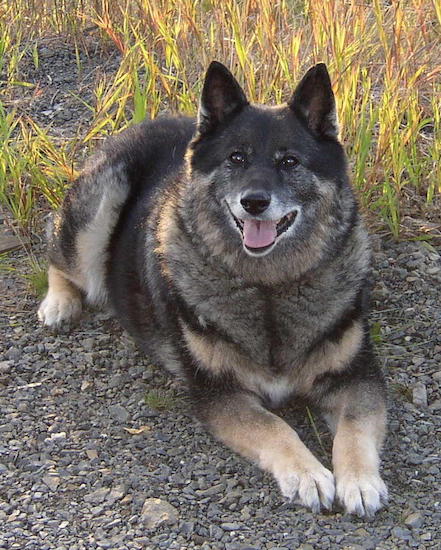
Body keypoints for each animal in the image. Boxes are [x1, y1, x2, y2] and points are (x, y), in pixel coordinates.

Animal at [38, 62, 388, 520]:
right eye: (236, 158)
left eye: (290, 161)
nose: (254, 202)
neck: (267, 288)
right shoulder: (219, 394)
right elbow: (274, 427)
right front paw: (308, 473)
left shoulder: (358, 379)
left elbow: (354, 428)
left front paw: (360, 481)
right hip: (96, 208)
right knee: (60, 256)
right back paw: (58, 303)